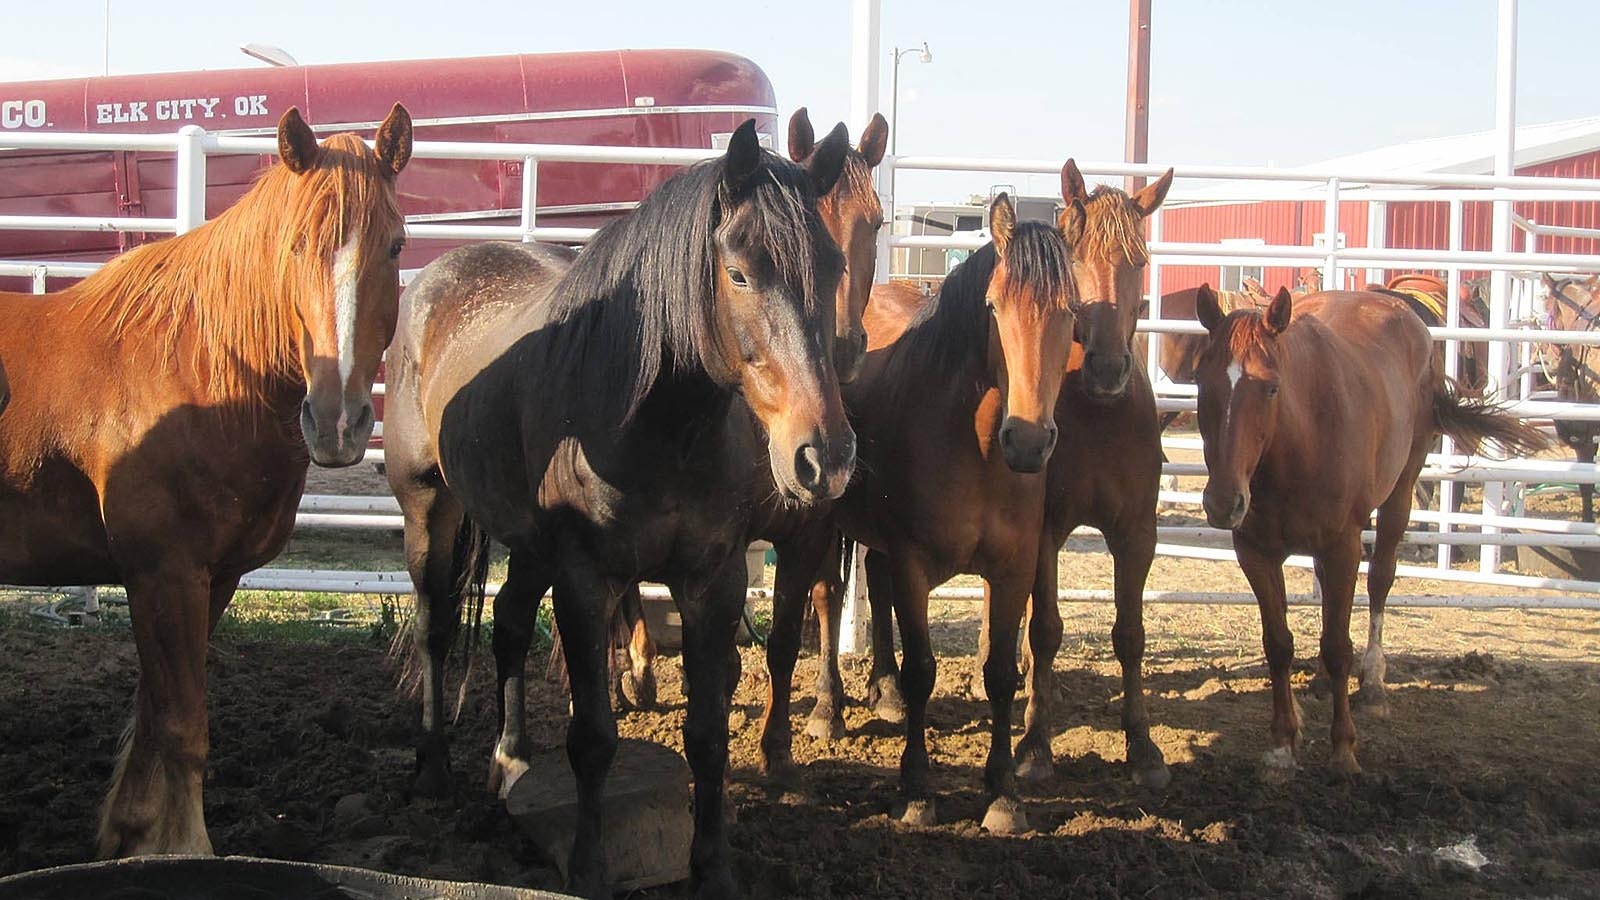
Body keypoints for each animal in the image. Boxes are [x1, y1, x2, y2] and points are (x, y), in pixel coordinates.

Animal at [0, 104, 416, 851]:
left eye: (396, 247)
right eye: (296, 245)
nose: (337, 422)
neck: (198, 368)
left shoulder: (207, 578)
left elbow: (151, 712)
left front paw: (133, 836)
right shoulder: (164, 573)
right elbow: (182, 726)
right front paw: (188, 848)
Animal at [382, 119, 857, 896]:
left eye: (835, 268)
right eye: (739, 274)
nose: (825, 456)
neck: (655, 420)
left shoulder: (713, 580)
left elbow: (707, 733)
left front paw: (713, 866)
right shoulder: (585, 579)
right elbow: (594, 737)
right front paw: (587, 866)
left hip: (529, 543)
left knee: (508, 623)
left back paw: (511, 760)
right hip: (429, 506)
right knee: (436, 628)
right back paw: (432, 772)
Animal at [1190, 285, 1548, 771]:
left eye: (1270, 387)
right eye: (1201, 383)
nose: (1223, 503)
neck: (1297, 444)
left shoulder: (1343, 546)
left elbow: (1339, 647)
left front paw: (1344, 747)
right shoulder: (1255, 552)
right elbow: (1278, 644)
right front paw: (1282, 742)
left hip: (1401, 489)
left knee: (1380, 580)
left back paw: (1373, 684)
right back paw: (1322, 682)